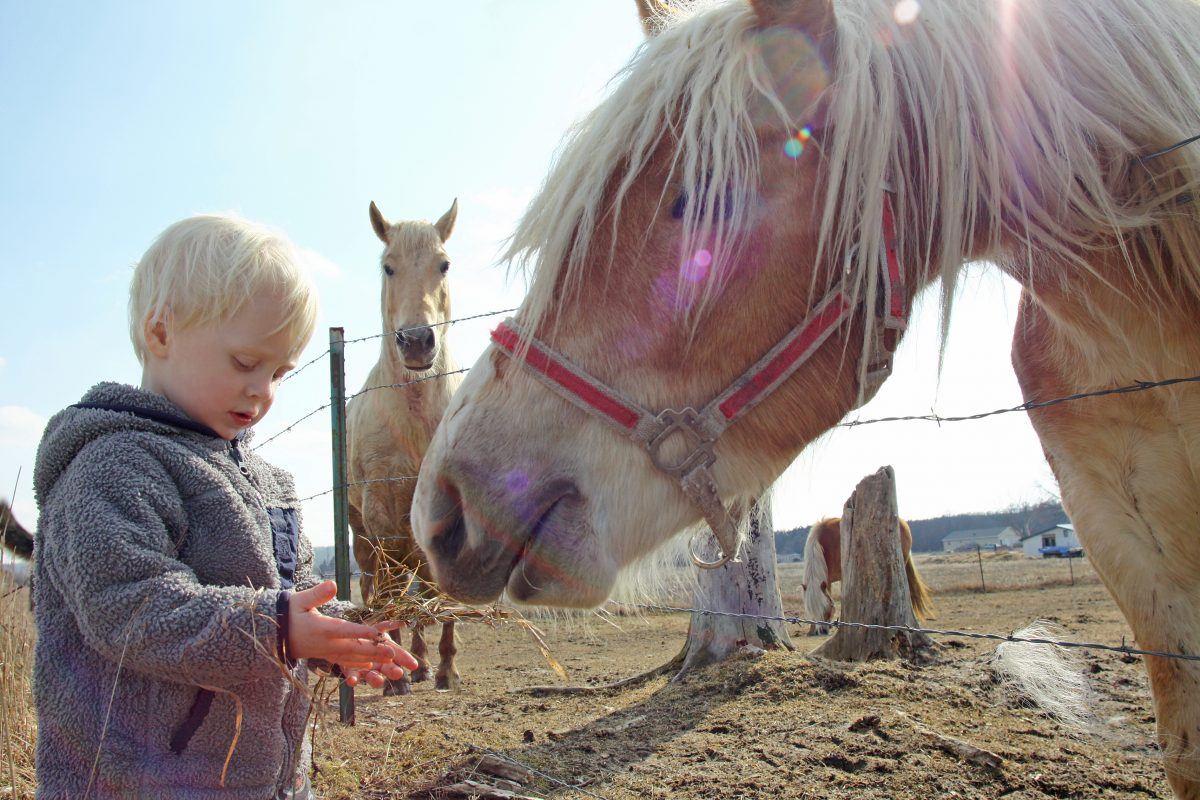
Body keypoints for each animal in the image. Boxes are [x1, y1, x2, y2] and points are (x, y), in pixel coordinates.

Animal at [801, 520, 931, 638]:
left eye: (826, 609)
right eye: (811, 610)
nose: (823, 631)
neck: (823, 543)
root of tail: (903, 522)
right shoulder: (827, 581)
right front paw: (811, 630)